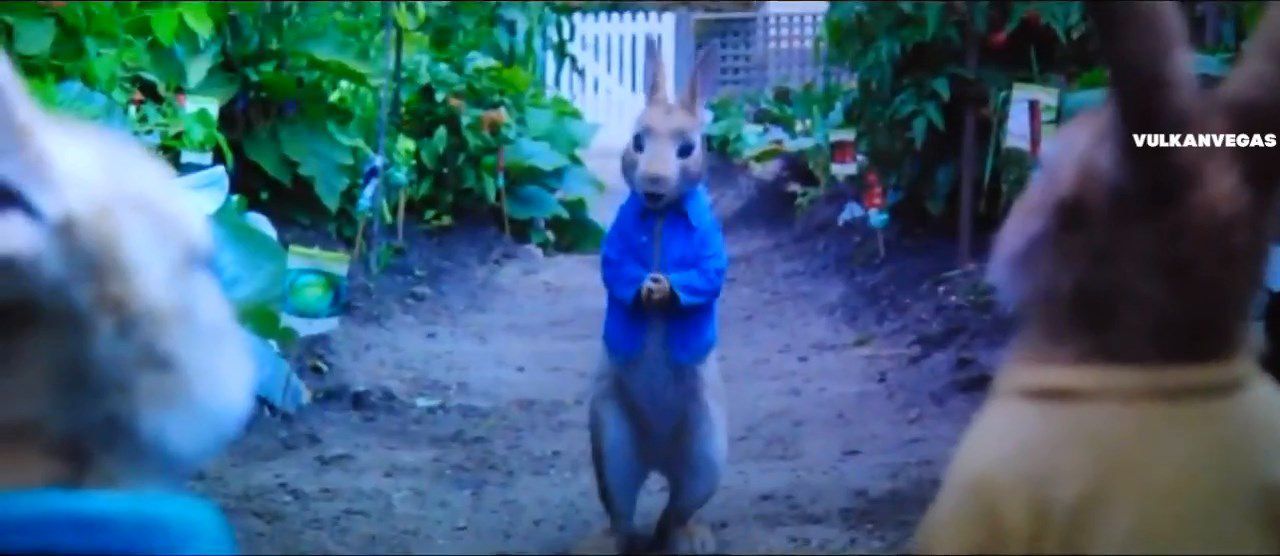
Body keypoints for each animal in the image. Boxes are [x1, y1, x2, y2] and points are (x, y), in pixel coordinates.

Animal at [586, 37, 729, 555]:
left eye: (688, 148)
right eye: (637, 141)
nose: (651, 185)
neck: (663, 215)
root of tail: (657, 457)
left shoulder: (710, 250)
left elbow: (706, 275)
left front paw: (663, 291)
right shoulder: (616, 248)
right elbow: (617, 269)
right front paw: (647, 290)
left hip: (706, 452)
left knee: (677, 509)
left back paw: (690, 540)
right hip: (612, 443)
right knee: (623, 513)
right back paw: (602, 544)